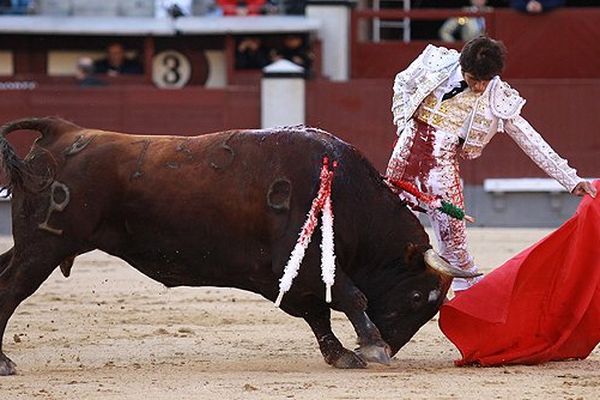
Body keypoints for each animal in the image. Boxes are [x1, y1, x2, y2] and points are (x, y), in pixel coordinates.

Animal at [0, 118, 476, 376]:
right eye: (417, 297)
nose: (392, 350)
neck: (345, 191)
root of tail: (63, 130)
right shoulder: (305, 260)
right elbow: (349, 295)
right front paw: (370, 345)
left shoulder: (293, 276)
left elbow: (318, 313)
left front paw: (342, 354)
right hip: (43, 246)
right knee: (12, 290)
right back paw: (5, 362)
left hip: (30, 244)